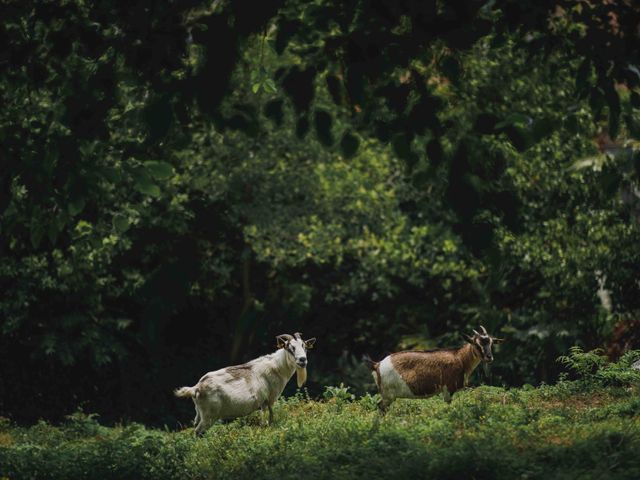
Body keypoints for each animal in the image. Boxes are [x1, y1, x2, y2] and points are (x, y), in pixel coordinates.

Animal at [175, 332, 316, 436]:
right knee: (198, 432)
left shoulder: (263, 403)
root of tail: (196, 388)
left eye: (304, 346)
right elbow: (270, 419)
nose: (302, 360)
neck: (277, 367)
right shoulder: (269, 399)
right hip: (209, 416)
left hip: (199, 413)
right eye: (290, 348)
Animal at [368, 328, 502, 410]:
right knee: (381, 407)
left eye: (491, 343)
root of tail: (377, 365)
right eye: (477, 345)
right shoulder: (448, 388)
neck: (460, 358)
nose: (489, 357)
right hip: (388, 395)